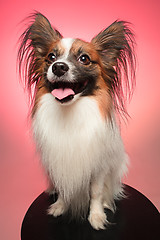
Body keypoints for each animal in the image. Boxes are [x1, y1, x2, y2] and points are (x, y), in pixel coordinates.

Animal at [17, 12, 135, 230]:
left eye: (84, 59)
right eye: (51, 57)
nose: (58, 67)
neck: (70, 112)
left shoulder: (99, 166)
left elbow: (96, 192)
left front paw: (96, 216)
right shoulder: (59, 163)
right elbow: (64, 187)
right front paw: (59, 206)